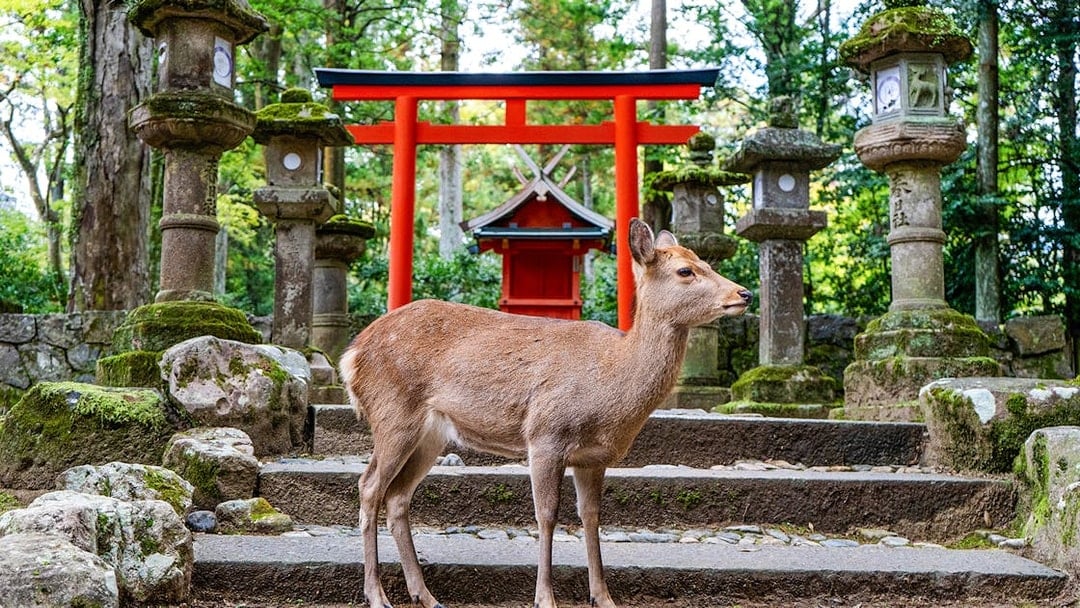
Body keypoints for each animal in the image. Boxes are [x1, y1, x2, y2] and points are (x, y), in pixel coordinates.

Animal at [339, 218, 752, 608]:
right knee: (369, 486)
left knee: (398, 496)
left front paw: (603, 597)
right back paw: (376, 594)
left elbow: (591, 516)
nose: (744, 293)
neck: (611, 388)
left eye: (706, 262)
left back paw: (425, 595)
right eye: (685, 270)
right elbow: (547, 515)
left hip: (431, 434)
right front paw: (545, 597)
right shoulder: (545, 435)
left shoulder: (593, 457)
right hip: (393, 413)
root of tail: (351, 356)